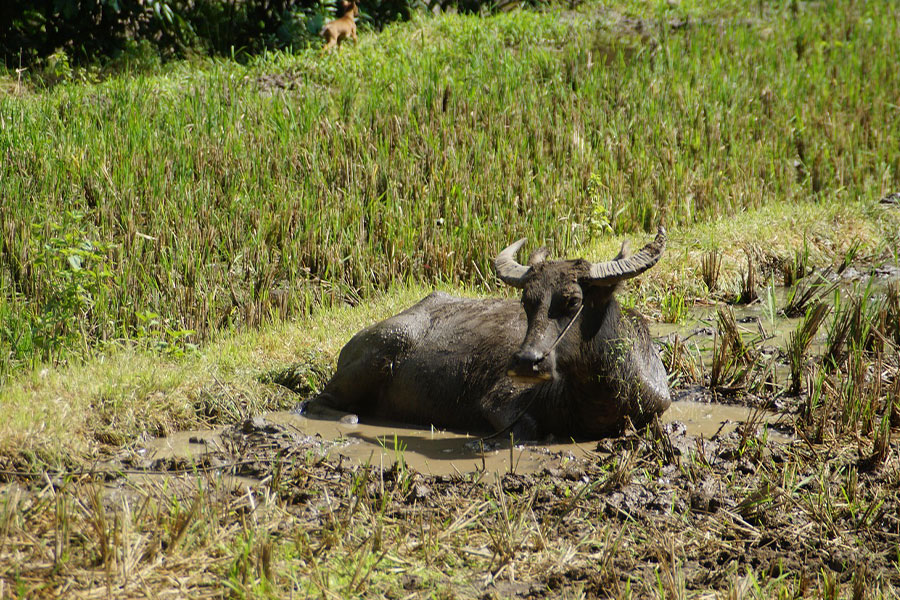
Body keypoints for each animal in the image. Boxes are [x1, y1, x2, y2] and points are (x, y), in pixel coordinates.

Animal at [301, 227, 671, 439]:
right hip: (379, 353)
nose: (526, 362)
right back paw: (349, 416)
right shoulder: (498, 404)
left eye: (573, 300)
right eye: (527, 300)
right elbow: (529, 429)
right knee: (315, 402)